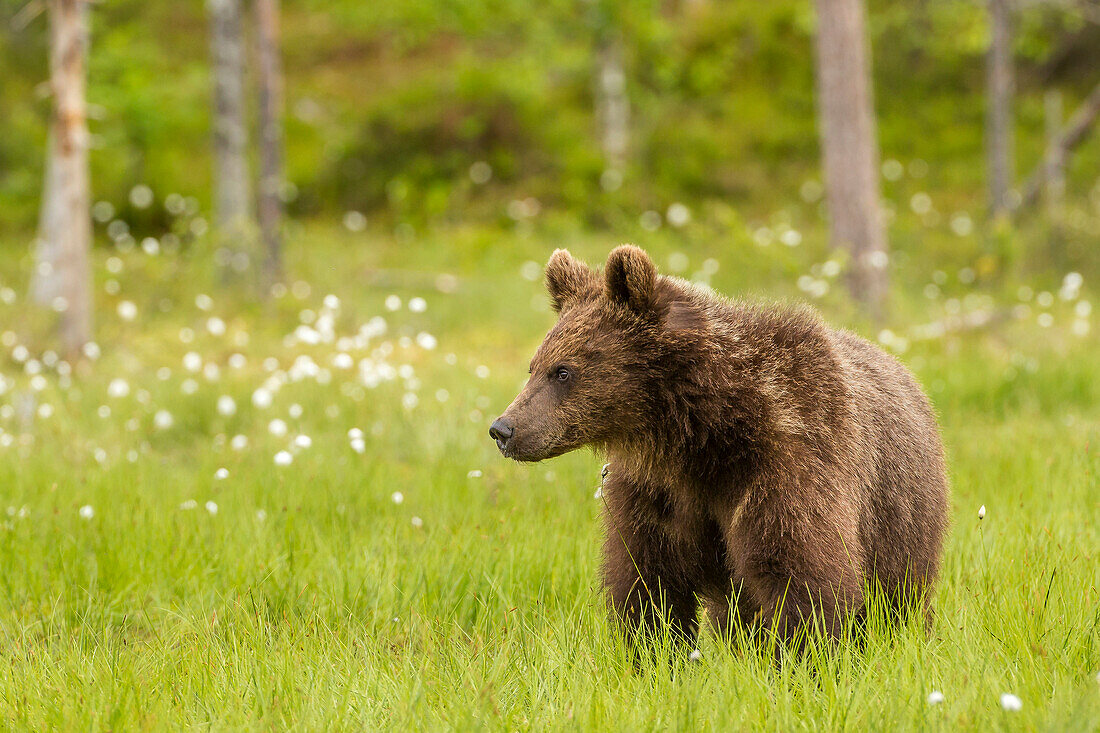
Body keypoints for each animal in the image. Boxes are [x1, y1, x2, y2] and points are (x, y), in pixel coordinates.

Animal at [486, 244, 950, 651]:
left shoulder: (789, 464)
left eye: (563, 371)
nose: (503, 429)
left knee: (899, 597)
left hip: (899, 513)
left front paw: (804, 661)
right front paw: (654, 657)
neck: (703, 437)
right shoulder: (655, 493)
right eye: (534, 366)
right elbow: (648, 583)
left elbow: (800, 574)